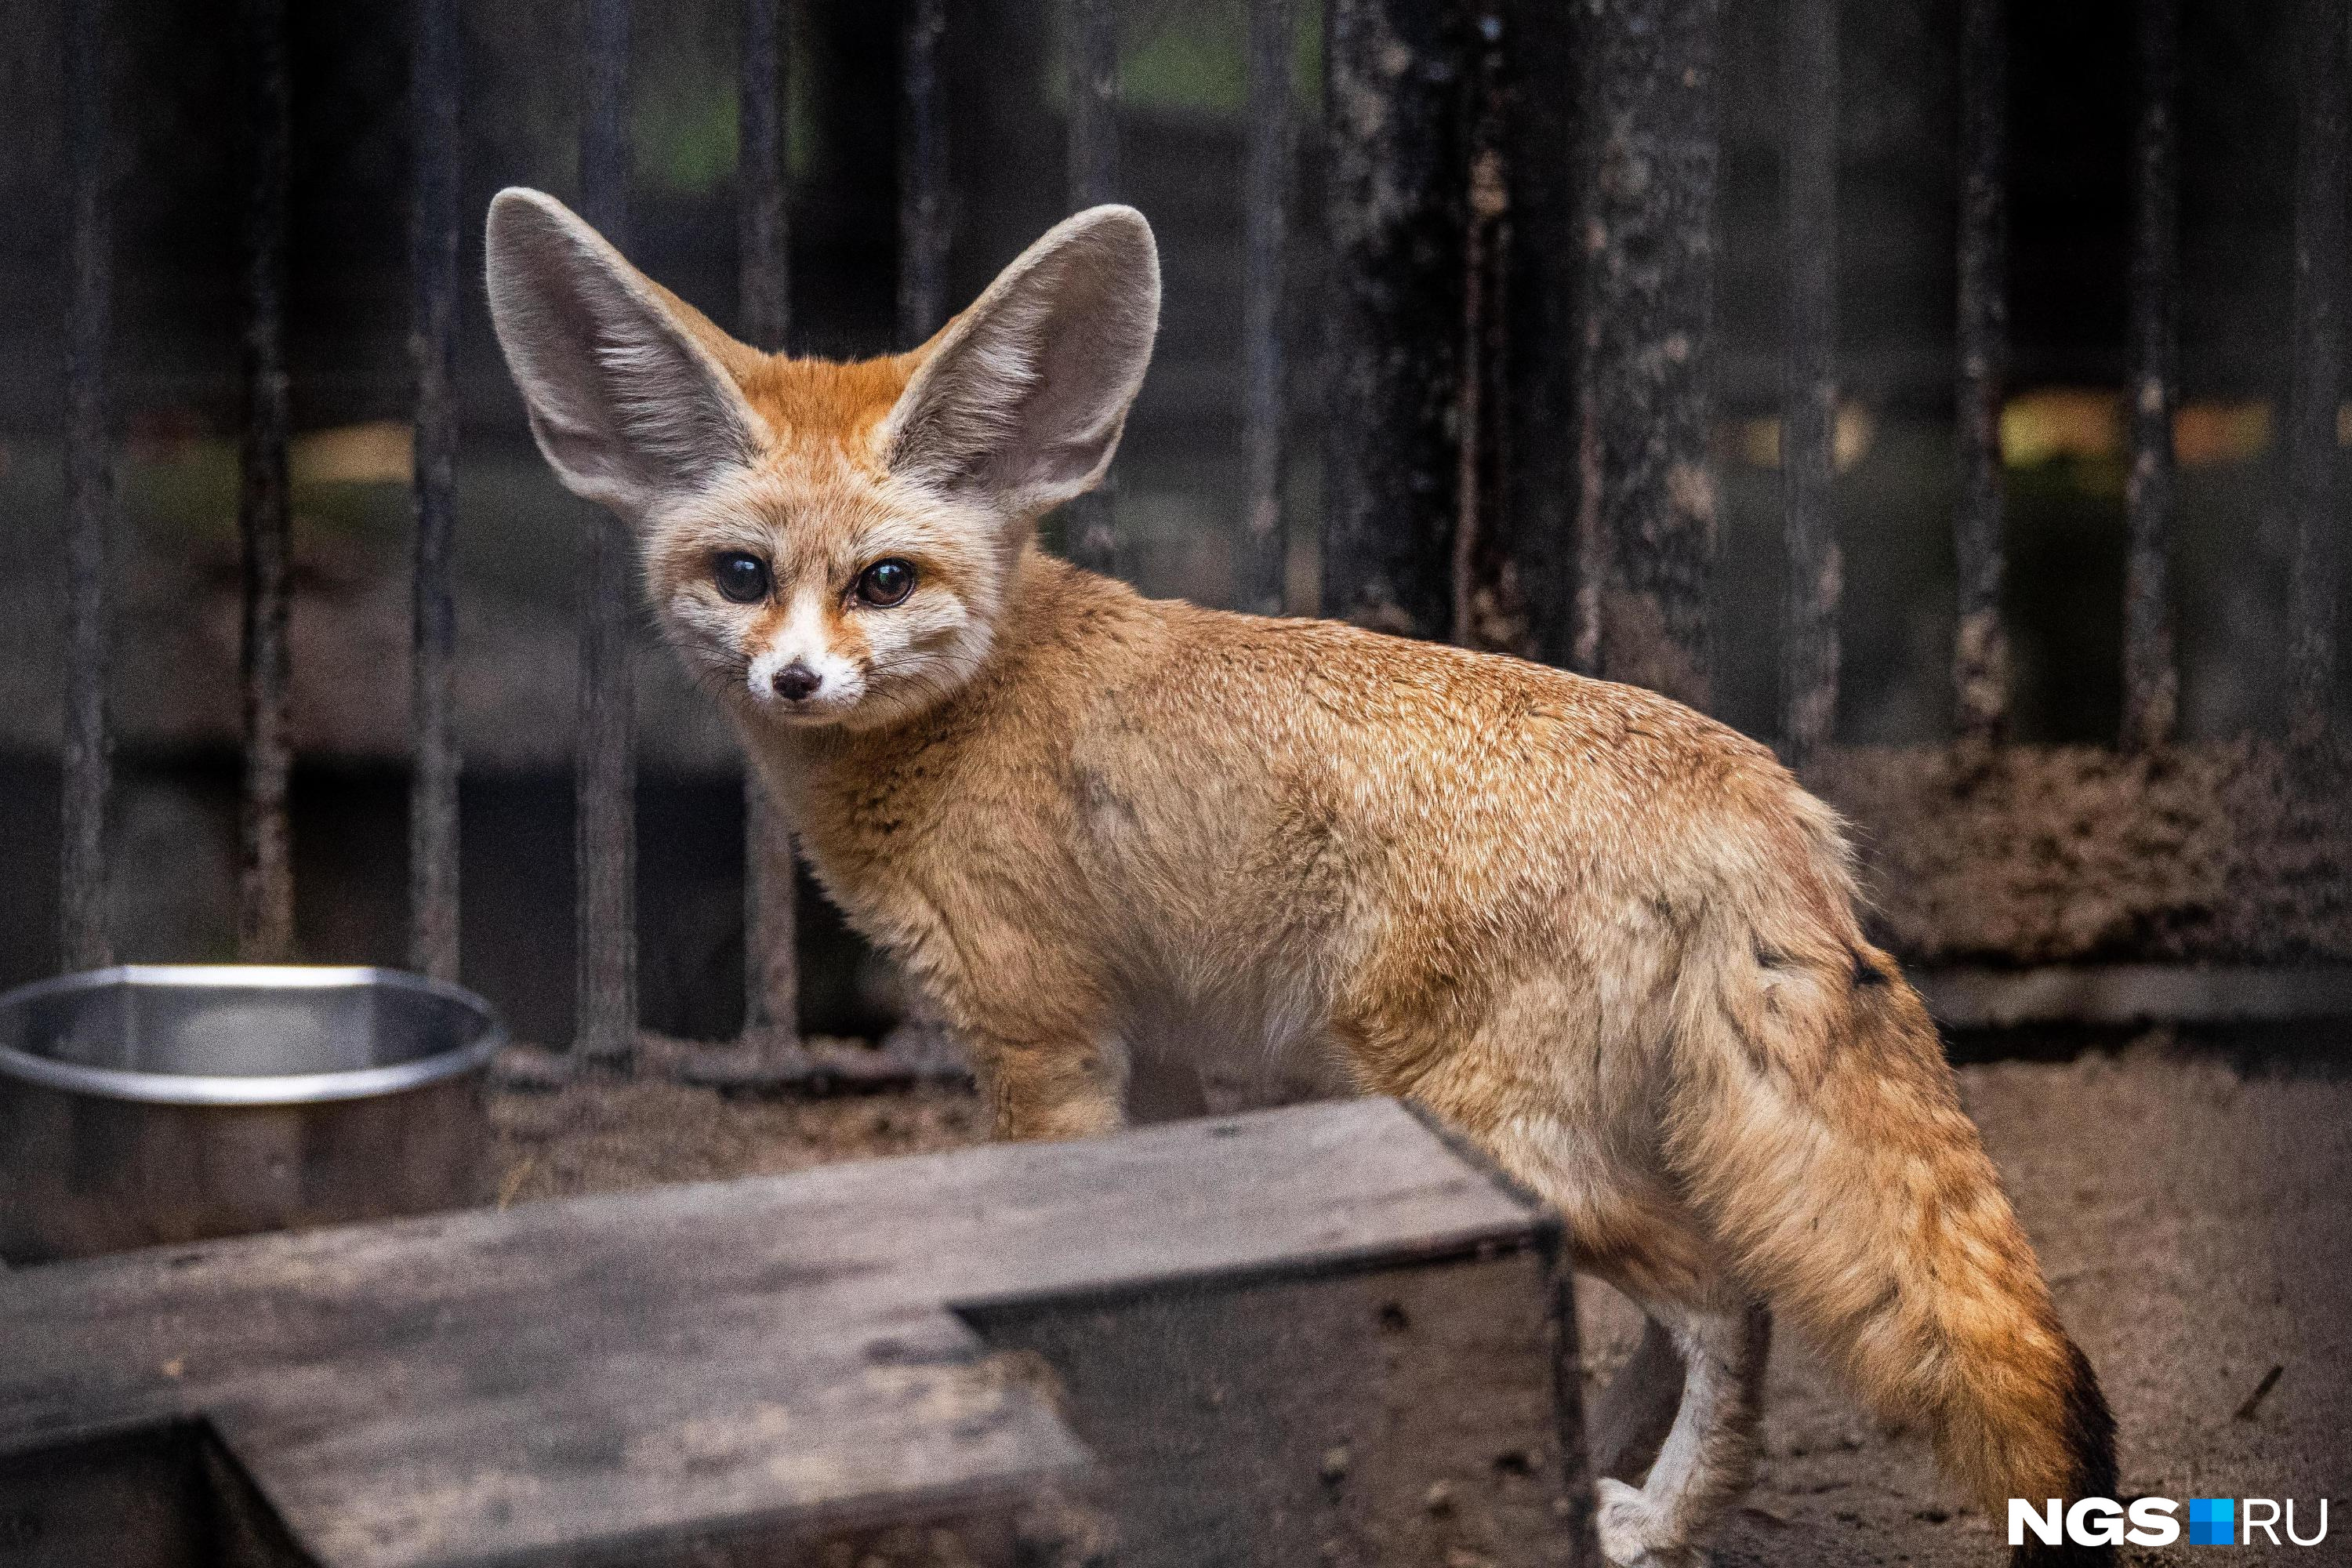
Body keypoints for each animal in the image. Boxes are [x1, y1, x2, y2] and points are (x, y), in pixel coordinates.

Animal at [492, 190, 2117, 1561]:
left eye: (884, 583)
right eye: (743, 578)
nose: (798, 681)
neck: (973, 707)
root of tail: (1758, 788)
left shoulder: (1038, 1035)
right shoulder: (1138, 1044)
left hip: (1480, 1126)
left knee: (1730, 1302)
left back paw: (1649, 1525)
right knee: (1691, 1312)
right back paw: (1602, 1470)